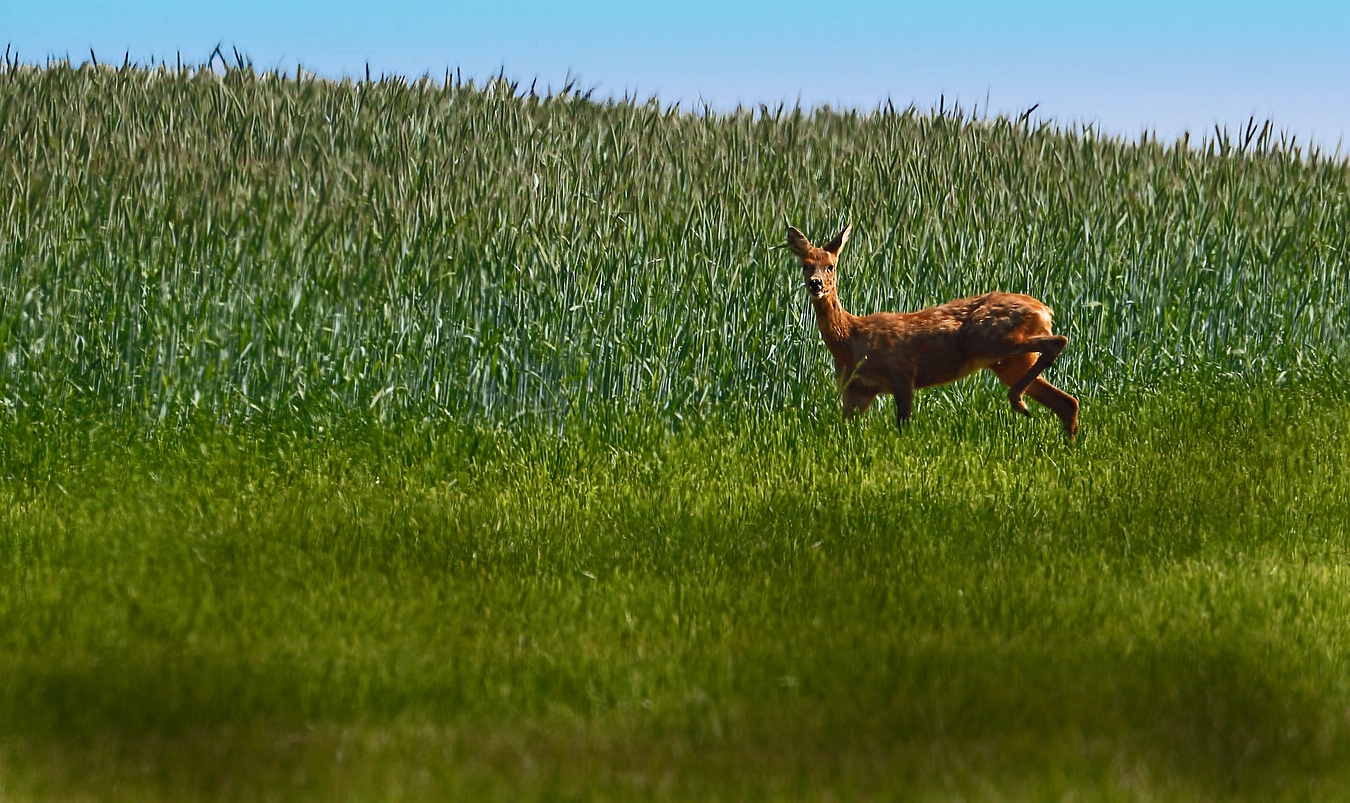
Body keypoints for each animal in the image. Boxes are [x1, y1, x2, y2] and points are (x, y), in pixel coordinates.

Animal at [788, 224, 1080, 439]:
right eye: (805, 264)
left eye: (831, 266)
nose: (815, 284)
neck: (850, 339)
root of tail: (1044, 310)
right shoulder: (856, 390)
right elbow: (845, 432)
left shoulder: (903, 373)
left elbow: (903, 427)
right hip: (1009, 362)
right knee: (1067, 403)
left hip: (992, 339)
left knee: (1057, 341)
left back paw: (1018, 402)